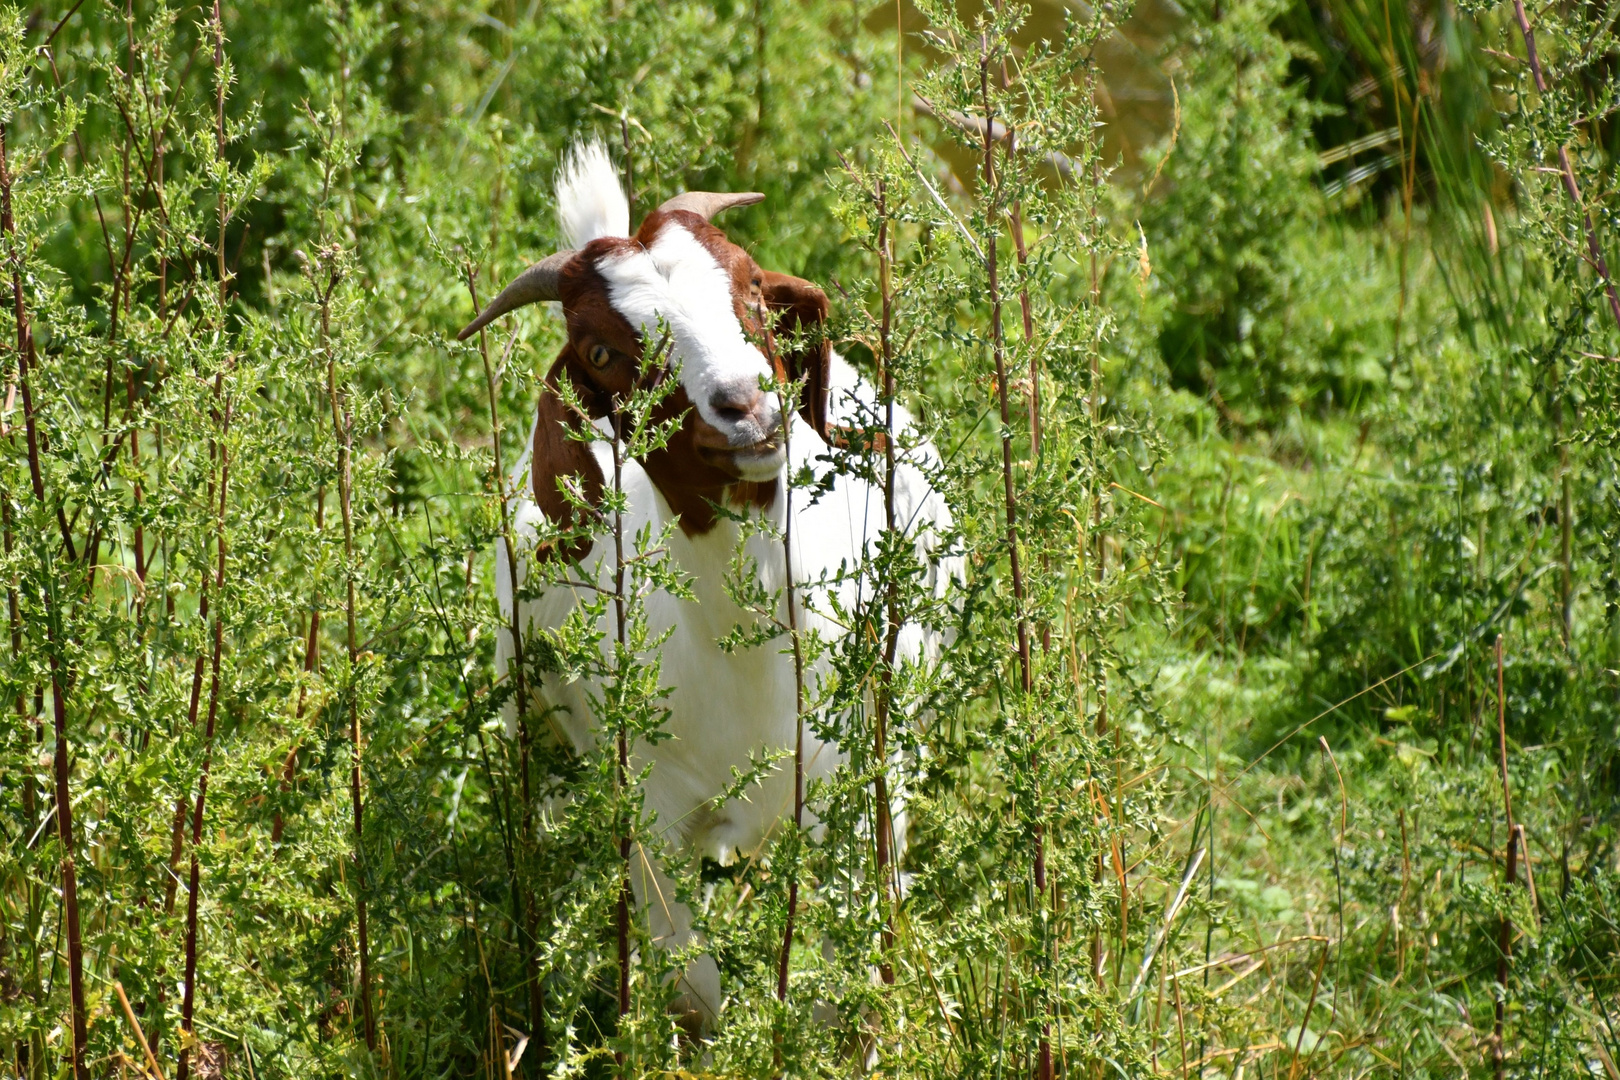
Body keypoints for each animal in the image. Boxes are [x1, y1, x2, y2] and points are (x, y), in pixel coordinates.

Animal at [456, 139, 952, 1029]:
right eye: (601, 352)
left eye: (751, 285)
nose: (745, 407)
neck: (749, 669)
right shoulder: (649, 814)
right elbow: (692, 986)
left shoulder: (861, 787)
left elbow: (856, 960)